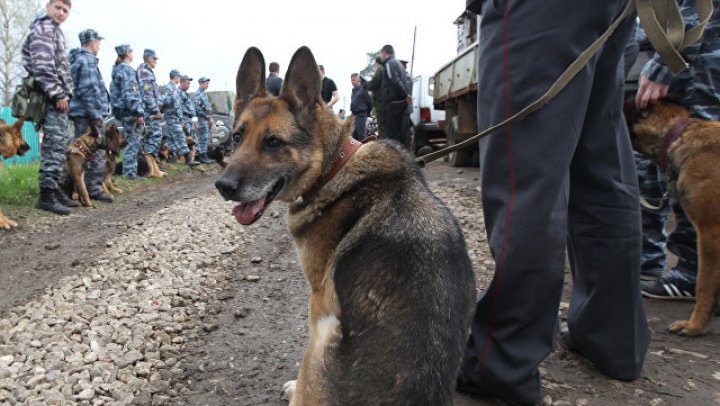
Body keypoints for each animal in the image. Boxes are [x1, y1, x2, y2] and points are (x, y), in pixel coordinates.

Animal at [211, 46, 476, 402]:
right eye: (237, 137)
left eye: (273, 142)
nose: (223, 186)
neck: (334, 165)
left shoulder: (318, 300)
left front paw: (293, 386)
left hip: (322, 334)